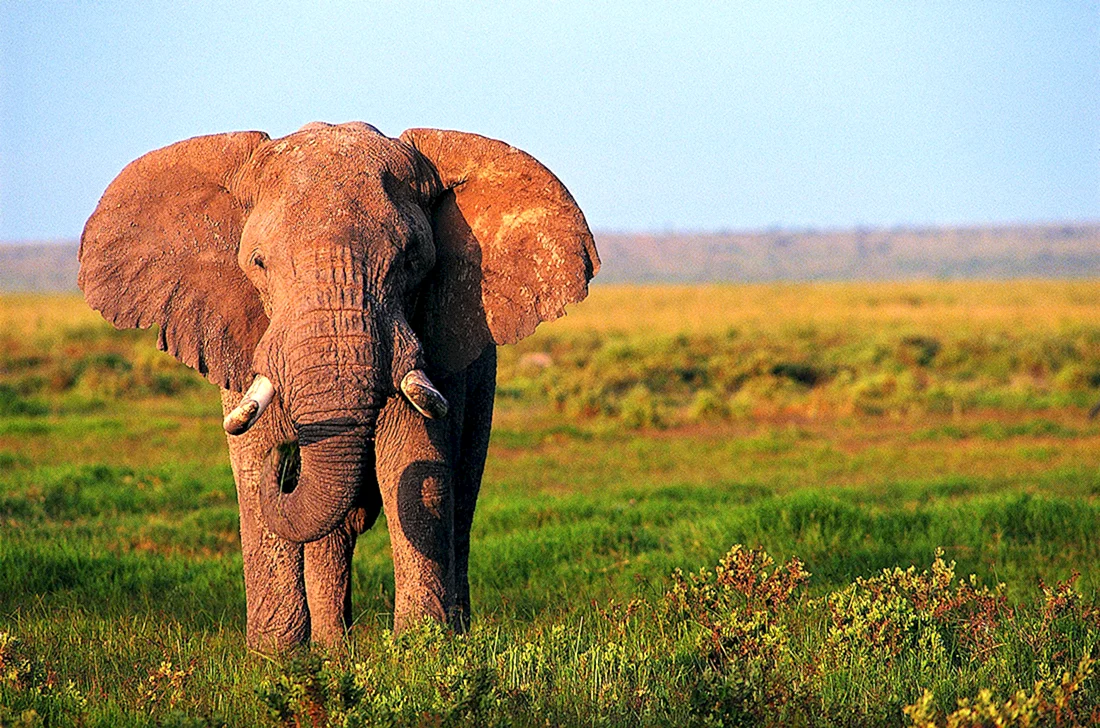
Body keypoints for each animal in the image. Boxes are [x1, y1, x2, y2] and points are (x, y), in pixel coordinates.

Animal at [78, 121, 599, 651]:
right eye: (258, 263)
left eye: (411, 261)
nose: (286, 462)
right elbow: (255, 471)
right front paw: (276, 659)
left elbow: (414, 462)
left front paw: (421, 652)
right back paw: (332, 650)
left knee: (460, 494)